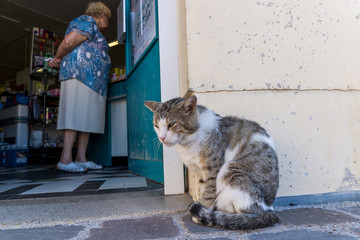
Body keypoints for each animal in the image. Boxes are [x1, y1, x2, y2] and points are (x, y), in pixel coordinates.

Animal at [145, 95, 280, 229]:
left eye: (172, 124)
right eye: (156, 126)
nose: (162, 138)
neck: (188, 143)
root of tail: (269, 208)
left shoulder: (213, 168)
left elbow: (209, 189)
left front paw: (204, 208)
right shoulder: (198, 171)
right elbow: (201, 186)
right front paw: (200, 201)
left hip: (231, 170)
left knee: (244, 213)